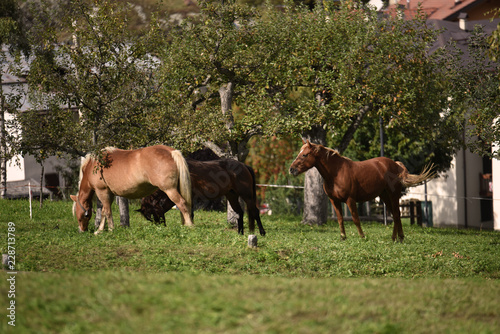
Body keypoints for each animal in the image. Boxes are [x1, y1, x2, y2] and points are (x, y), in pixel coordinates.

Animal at [137, 159, 266, 235]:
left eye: (153, 212)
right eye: (148, 217)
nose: (159, 228)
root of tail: (244, 165)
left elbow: (189, 213)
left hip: (247, 196)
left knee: (254, 211)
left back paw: (262, 232)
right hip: (232, 196)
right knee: (240, 212)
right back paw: (240, 233)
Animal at [290, 140, 434, 241]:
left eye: (304, 154)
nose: (292, 169)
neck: (336, 173)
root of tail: (396, 165)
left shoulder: (350, 200)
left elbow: (355, 219)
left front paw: (362, 237)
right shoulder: (334, 201)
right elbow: (340, 219)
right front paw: (343, 238)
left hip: (393, 195)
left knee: (397, 214)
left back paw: (398, 238)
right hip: (384, 196)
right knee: (395, 215)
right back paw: (397, 238)